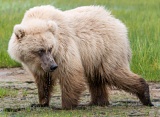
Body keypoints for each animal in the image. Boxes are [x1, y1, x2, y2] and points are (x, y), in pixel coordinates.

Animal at [8, 5, 153, 109]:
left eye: (50, 48)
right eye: (40, 50)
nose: (53, 66)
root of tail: (118, 23)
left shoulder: (63, 48)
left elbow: (70, 72)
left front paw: (65, 105)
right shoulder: (40, 65)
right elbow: (43, 80)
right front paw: (40, 103)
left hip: (107, 48)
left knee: (113, 72)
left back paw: (145, 95)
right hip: (95, 56)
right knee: (96, 77)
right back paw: (97, 101)